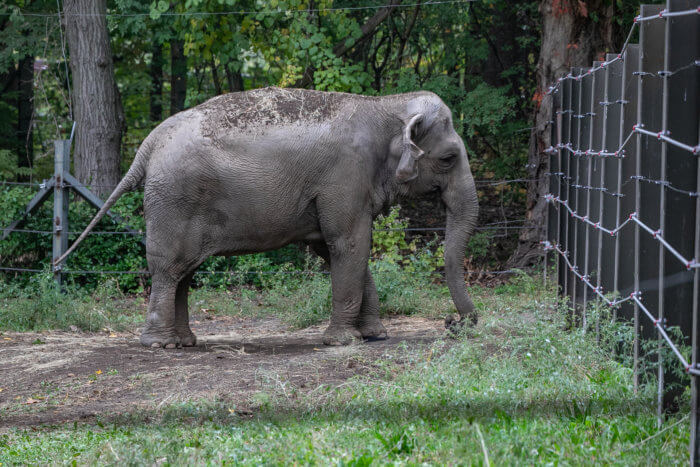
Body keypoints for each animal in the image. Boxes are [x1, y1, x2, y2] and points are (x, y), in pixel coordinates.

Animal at [57, 88, 478, 350]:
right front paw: (344, 341)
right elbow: (349, 243)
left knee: (184, 273)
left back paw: (185, 342)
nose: (454, 323)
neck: (384, 105)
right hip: (173, 201)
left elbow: (334, 249)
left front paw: (374, 335)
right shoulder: (345, 177)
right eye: (448, 158)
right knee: (168, 269)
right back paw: (161, 344)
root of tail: (148, 144)